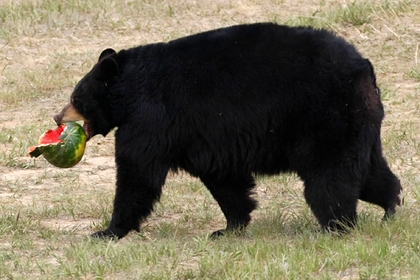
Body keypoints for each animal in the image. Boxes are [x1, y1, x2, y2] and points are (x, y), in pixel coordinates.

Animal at [54, 23, 402, 240]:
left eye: (76, 98)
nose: (57, 117)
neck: (129, 90)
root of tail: (364, 68)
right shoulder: (207, 138)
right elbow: (225, 180)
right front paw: (229, 227)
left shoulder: (151, 118)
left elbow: (137, 173)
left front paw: (108, 231)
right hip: (358, 123)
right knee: (370, 172)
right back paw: (390, 207)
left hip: (326, 118)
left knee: (329, 179)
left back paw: (335, 226)